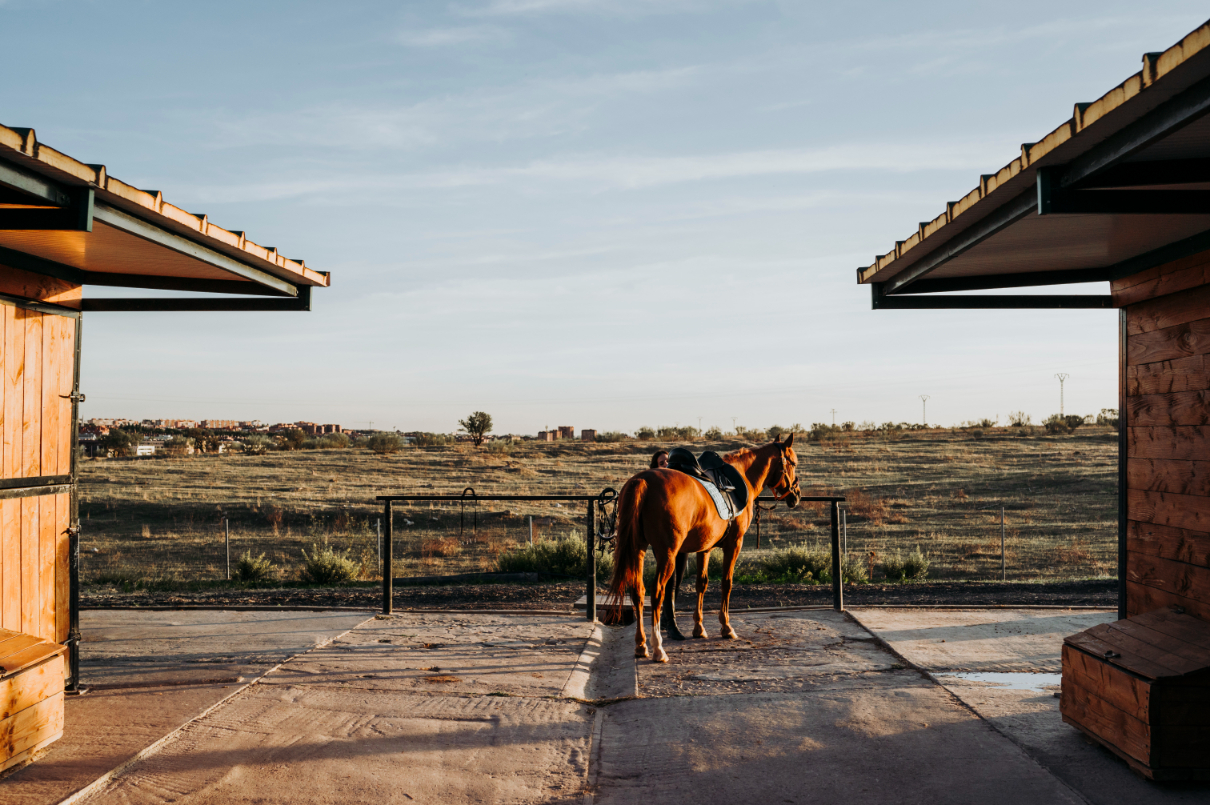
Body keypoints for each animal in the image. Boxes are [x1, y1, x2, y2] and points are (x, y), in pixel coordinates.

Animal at [607, 434, 801, 662]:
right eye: (793, 463)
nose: (796, 495)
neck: (742, 475)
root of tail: (643, 481)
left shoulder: (705, 548)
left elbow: (702, 583)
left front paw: (699, 627)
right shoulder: (734, 544)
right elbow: (727, 582)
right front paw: (726, 627)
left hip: (638, 549)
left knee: (638, 591)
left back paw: (641, 645)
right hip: (667, 554)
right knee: (657, 592)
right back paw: (658, 647)